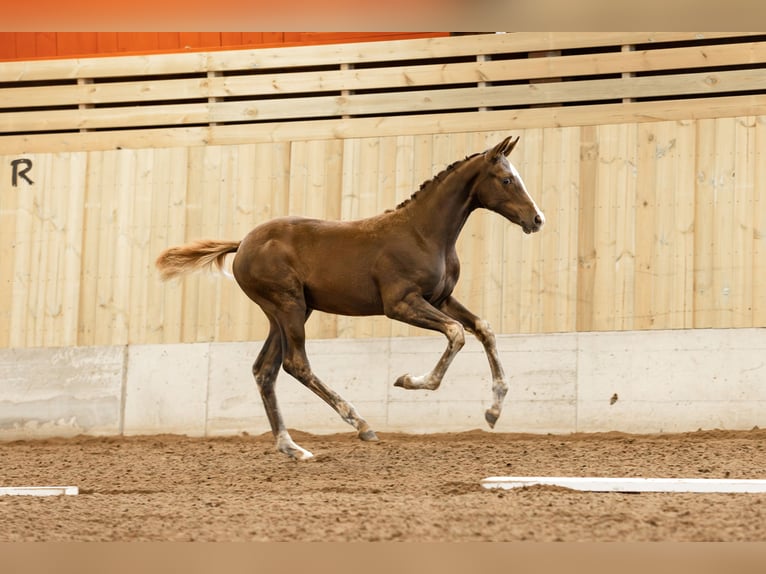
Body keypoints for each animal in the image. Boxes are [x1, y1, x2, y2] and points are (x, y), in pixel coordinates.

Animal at [156, 137, 544, 462]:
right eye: (506, 179)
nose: (537, 219)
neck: (424, 233)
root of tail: (242, 244)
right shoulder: (400, 304)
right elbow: (456, 333)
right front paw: (409, 380)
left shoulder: (442, 298)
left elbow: (483, 329)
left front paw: (493, 412)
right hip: (288, 306)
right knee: (295, 364)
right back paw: (360, 424)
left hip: (286, 312)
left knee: (264, 370)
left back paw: (292, 447)